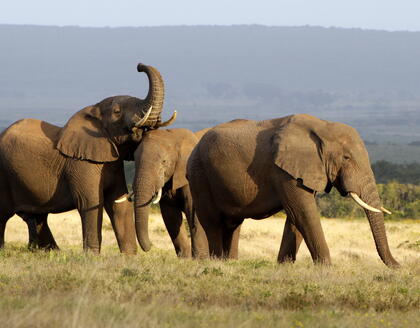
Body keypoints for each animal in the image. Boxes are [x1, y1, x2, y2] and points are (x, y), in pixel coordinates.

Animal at [0, 63, 176, 254]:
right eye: (117, 111)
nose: (139, 66)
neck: (94, 110)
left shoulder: (112, 162)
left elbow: (118, 204)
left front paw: (129, 256)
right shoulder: (81, 163)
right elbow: (91, 202)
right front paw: (92, 256)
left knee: (37, 217)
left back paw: (50, 251)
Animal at [133, 127, 208, 258]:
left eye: (164, 162)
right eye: (135, 160)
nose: (150, 246)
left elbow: (194, 214)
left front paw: (201, 259)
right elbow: (171, 217)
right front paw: (184, 259)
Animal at [188, 114, 400, 268]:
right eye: (346, 158)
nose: (399, 266)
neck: (323, 126)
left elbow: (296, 215)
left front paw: (284, 266)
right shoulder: (282, 171)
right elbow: (303, 212)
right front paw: (327, 268)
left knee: (233, 224)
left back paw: (230, 262)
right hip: (199, 175)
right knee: (212, 222)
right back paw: (217, 263)